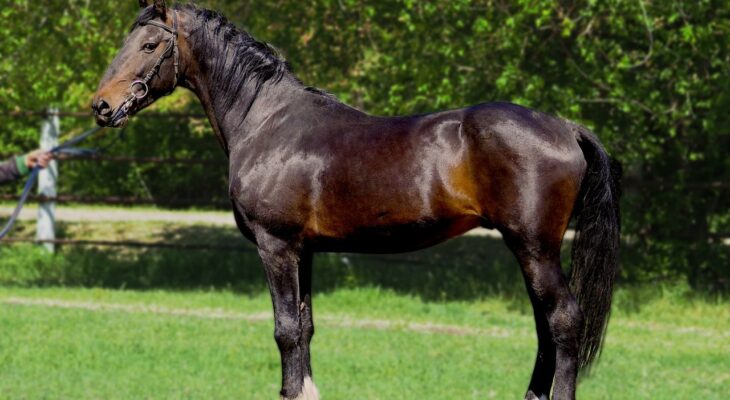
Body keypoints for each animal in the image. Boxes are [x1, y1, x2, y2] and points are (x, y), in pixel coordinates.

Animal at [93, 2, 621, 399]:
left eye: (149, 45)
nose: (101, 106)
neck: (266, 121)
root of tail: (565, 127)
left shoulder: (275, 245)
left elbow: (285, 330)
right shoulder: (303, 250)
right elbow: (304, 329)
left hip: (535, 249)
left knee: (563, 322)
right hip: (530, 251)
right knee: (545, 329)